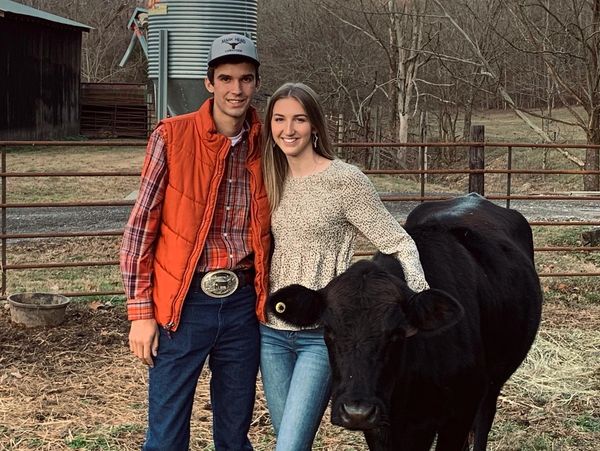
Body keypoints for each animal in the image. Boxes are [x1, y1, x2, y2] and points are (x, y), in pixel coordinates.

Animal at [268, 194, 544, 451]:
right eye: (328, 330)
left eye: (396, 334)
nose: (357, 412)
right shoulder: (382, 427)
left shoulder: (460, 413)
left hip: (491, 386)